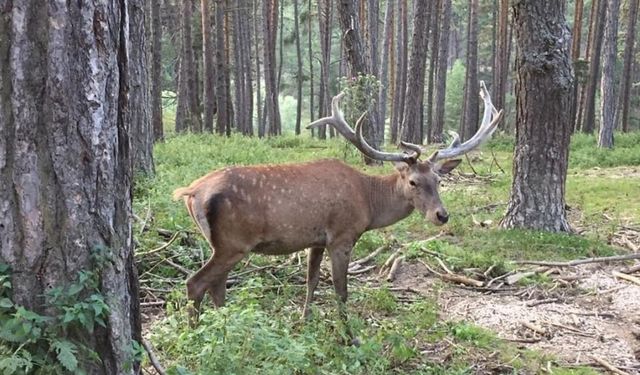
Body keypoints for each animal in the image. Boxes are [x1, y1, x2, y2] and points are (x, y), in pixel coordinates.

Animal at [172, 81, 502, 320]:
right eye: (413, 182)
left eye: (439, 180)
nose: (441, 215)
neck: (368, 202)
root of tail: (190, 192)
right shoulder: (342, 235)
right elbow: (341, 291)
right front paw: (348, 335)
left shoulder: (316, 240)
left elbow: (312, 281)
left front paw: (305, 320)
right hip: (233, 242)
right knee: (195, 283)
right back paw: (198, 330)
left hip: (221, 244)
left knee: (216, 286)